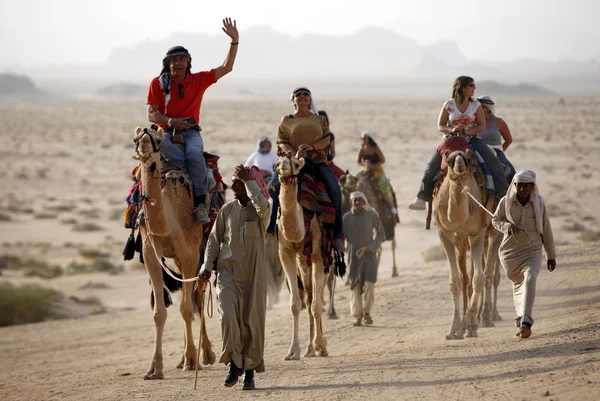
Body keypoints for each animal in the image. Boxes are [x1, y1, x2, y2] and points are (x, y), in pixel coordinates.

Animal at [132, 127, 214, 378]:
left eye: (158, 139)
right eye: (135, 138)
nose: (145, 144)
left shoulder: (190, 254)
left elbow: (186, 308)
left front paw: (191, 360)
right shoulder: (150, 253)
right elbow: (159, 312)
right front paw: (154, 369)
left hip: (200, 249)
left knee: (197, 297)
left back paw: (205, 355)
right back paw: (184, 357)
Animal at [276, 155, 328, 358]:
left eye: (296, 164)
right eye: (277, 162)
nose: (283, 166)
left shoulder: (318, 254)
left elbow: (316, 305)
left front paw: (320, 344)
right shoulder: (285, 253)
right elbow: (295, 305)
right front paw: (292, 351)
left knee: (317, 297)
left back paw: (319, 347)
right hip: (303, 263)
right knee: (308, 296)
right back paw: (308, 350)